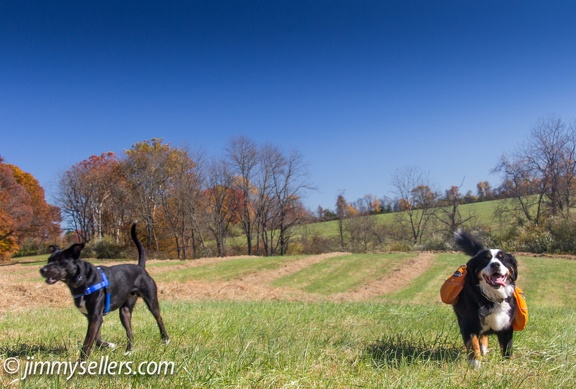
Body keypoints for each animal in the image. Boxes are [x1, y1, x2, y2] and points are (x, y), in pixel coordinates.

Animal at [40, 223, 169, 360]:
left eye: (60, 261)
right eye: (48, 260)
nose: (42, 269)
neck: (83, 278)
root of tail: (140, 267)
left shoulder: (95, 317)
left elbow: (87, 344)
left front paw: (81, 363)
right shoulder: (93, 317)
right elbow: (96, 339)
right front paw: (109, 345)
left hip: (151, 301)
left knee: (159, 319)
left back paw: (165, 339)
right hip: (125, 311)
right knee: (130, 332)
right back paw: (129, 351)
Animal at [454, 229, 516, 368]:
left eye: (502, 259)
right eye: (485, 259)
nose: (495, 265)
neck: (492, 297)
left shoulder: (506, 325)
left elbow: (507, 348)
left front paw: (507, 366)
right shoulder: (469, 323)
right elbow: (473, 344)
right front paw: (475, 364)